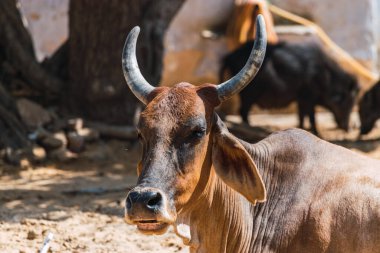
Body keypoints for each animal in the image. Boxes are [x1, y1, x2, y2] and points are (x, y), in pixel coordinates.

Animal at [218, 39, 358, 134]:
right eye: (347, 102)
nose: (348, 129)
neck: (325, 78)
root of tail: (229, 56)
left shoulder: (302, 98)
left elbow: (302, 115)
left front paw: (302, 128)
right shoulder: (308, 96)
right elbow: (312, 116)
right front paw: (317, 133)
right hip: (248, 92)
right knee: (243, 111)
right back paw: (250, 128)